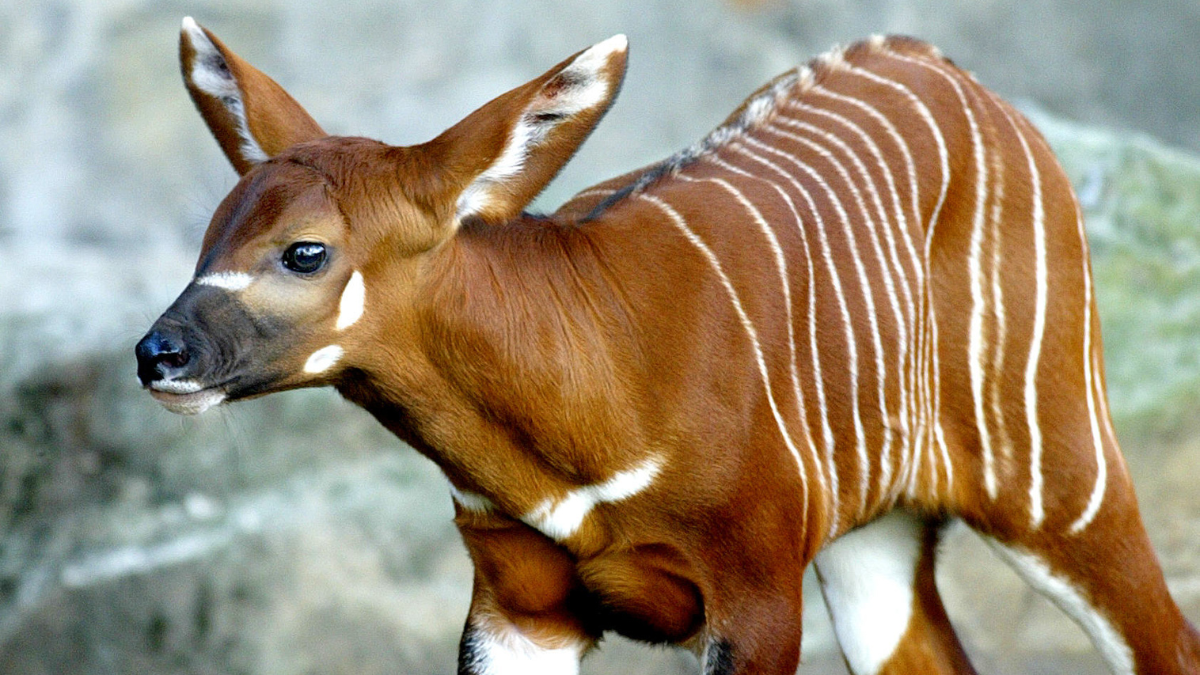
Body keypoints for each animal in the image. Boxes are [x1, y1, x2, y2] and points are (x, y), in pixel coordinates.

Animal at [135, 17, 1200, 675]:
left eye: (305, 250)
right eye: (210, 235)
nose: (158, 355)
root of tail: (959, 78)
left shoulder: (755, 597)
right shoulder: (516, 601)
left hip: (1062, 479)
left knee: (1166, 636)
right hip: (877, 540)